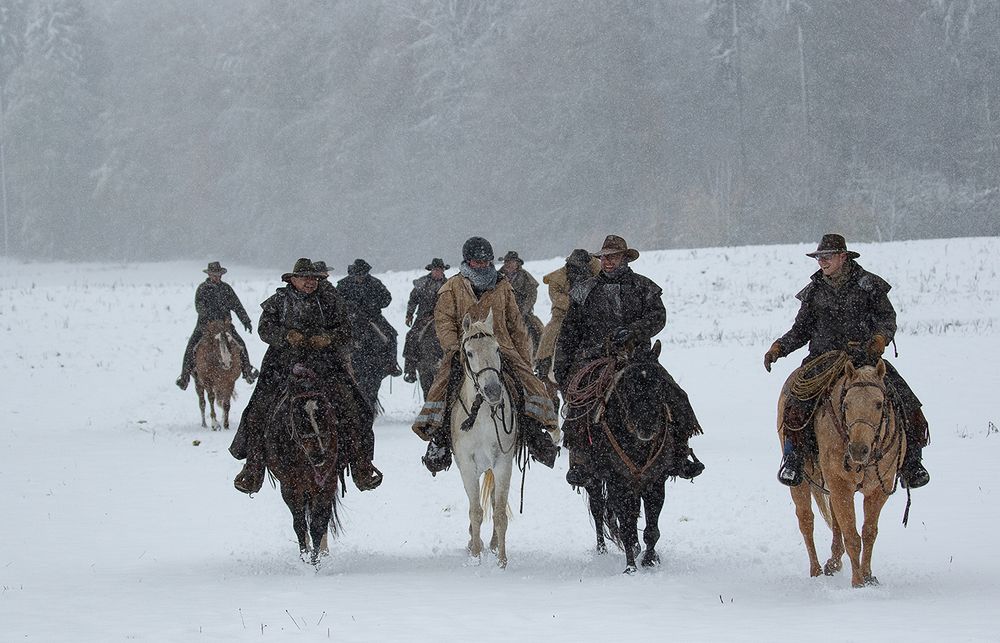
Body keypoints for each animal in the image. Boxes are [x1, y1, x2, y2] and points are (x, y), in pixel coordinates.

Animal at [264, 362, 342, 568]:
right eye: (299, 416)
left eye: (323, 412)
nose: (319, 456)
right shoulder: (290, 487)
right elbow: (299, 524)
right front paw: (305, 557)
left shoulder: (326, 484)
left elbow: (318, 524)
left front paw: (316, 561)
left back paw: (323, 551)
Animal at [452, 312, 520, 568]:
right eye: (470, 353)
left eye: (498, 349)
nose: (493, 390)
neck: (481, 416)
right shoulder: (467, 465)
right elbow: (475, 511)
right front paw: (475, 555)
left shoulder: (503, 463)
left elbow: (499, 512)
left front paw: (501, 560)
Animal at [576, 342, 676, 572]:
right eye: (627, 386)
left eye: (660, 383)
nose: (647, 426)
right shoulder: (618, 484)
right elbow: (626, 529)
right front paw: (630, 568)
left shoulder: (655, 482)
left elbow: (651, 528)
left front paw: (650, 560)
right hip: (593, 479)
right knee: (598, 510)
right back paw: (601, 549)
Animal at [780, 358, 908, 588]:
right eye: (846, 404)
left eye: (879, 404)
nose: (858, 449)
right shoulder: (840, 483)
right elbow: (852, 535)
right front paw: (857, 583)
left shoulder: (879, 488)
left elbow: (868, 533)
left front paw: (868, 576)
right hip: (802, 481)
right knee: (806, 520)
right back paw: (816, 571)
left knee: (834, 520)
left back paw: (833, 563)